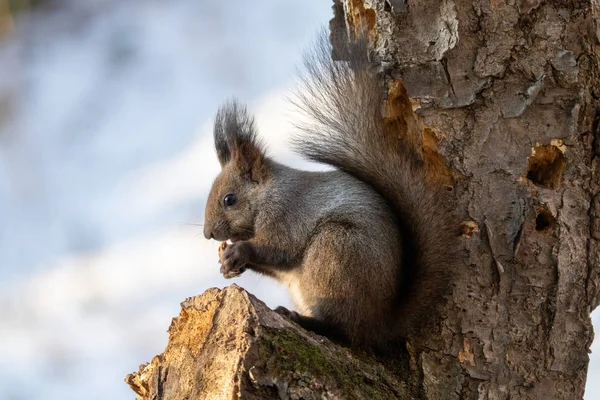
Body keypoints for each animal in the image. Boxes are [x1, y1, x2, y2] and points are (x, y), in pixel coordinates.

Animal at [204, 30, 458, 350]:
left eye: (230, 199)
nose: (208, 234)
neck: (268, 194)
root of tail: (378, 325)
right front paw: (228, 264)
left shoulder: (287, 213)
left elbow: (279, 248)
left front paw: (238, 251)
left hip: (335, 254)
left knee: (342, 329)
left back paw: (303, 319)